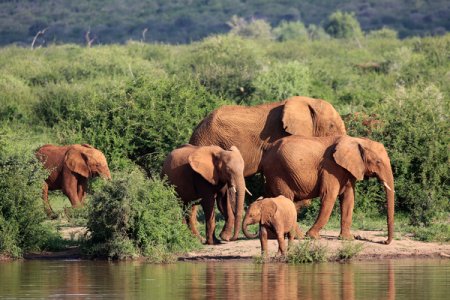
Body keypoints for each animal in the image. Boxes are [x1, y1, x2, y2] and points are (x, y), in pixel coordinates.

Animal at [260, 135, 394, 244]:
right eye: (378, 161)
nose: (384, 242)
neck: (356, 140)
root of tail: (268, 148)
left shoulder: (348, 169)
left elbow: (349, 198)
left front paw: (348, 239)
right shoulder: (330, 167)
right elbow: (329, 195)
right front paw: (313, 237)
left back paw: (274, 236)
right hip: (278, 172)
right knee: (286, 200)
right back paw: (300, 236)